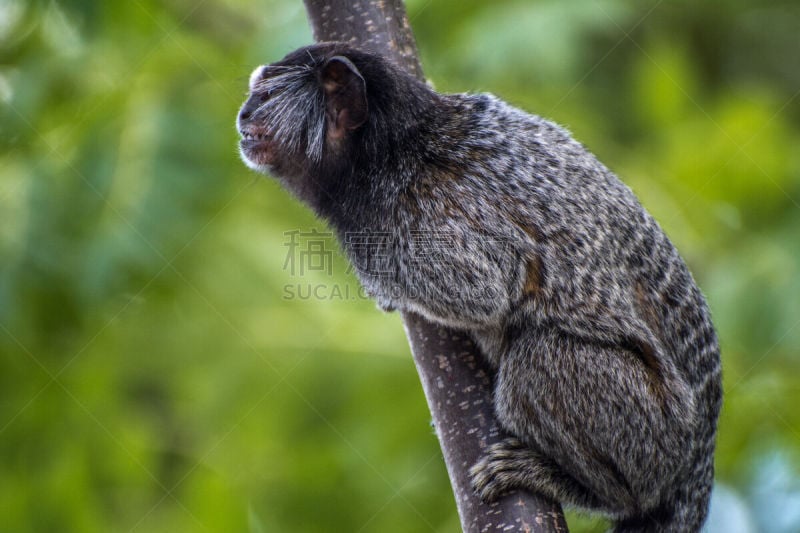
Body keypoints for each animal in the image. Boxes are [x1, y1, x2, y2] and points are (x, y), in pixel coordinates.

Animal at [234, 42, 720, 532]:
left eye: (267, 95)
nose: (243, 114)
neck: (392, 152)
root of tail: (698, 463)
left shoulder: (434, 207)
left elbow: (484, 290)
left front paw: (385, 290)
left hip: (656, 435)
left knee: (542, 356)